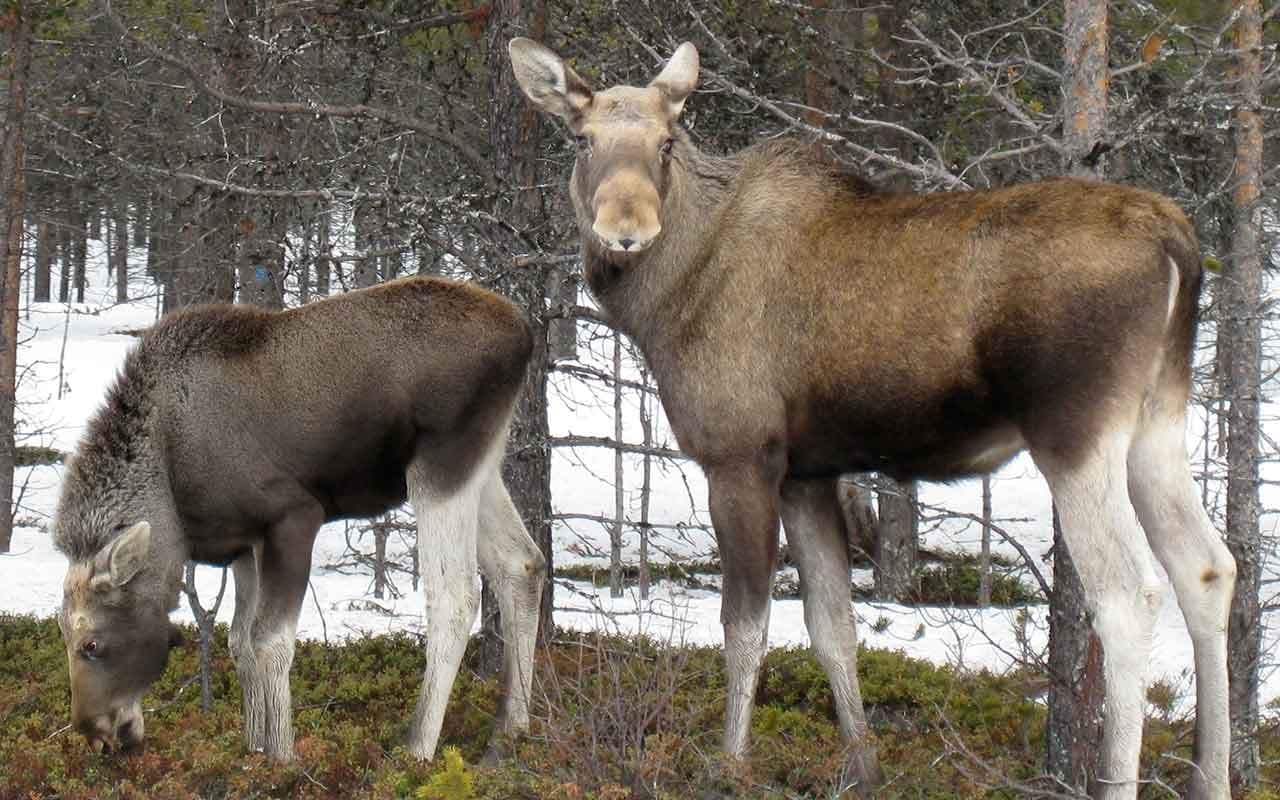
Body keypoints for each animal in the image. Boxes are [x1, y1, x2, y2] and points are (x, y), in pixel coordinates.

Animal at [53, 276, 546, 765]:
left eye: (90, 643)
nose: (95, 732)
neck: (172, 498)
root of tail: (524, 334)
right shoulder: (243, 545)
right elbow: (239, 642)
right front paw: (252, 748)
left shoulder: (293, 517)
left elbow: (270, 640)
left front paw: (283, 756)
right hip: (482, 466)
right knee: (523, 563)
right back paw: (508, 735)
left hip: (440, 465)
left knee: (455, 596)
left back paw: (417, 748)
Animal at [510, 37, 1234, 799]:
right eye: (582, 139)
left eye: (666, 142)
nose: (626, 230)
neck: (662, 301)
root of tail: (1180, 244)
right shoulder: (806, 473)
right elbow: (833, 625)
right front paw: (863, 764)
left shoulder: (740, 455)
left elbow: (745, 625)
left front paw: (731, 763)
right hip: (1157, 420)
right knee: (1207, 568)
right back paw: (1211, 776)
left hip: (1075, 430)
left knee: (1128, 594)